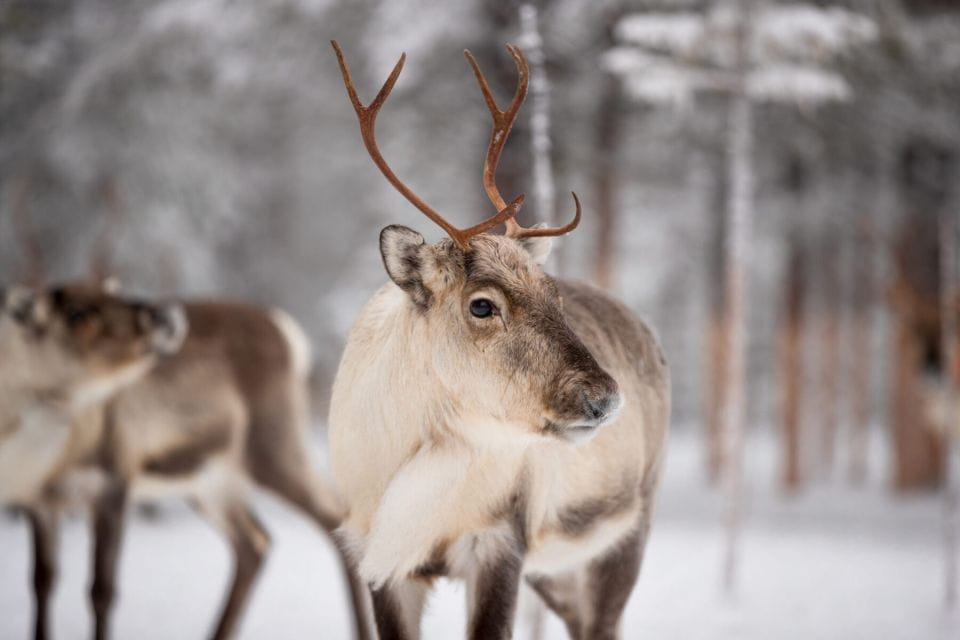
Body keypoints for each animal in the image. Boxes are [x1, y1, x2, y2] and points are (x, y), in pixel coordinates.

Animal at [0, 281, 187, 639]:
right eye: (78, 314)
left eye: (116, 292)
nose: (164, 316)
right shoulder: (42, 501)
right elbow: (42, 579)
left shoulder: (110, 489)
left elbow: (101, 590)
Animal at [23, 291, 374, 640]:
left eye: (80, 314)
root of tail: (288, 332)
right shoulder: (37, 501)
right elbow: (41, 580)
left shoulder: (115, 480)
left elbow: (101, 589)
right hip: (208, 483)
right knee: (254, 543)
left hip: (273, 447)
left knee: (333, 516)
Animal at [328, 41, 670, 640]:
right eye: (482, 304)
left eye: (553, 293)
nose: (605, 397)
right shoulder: (374, 554)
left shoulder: (500, 540)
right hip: (556, 573)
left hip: (627, 529)